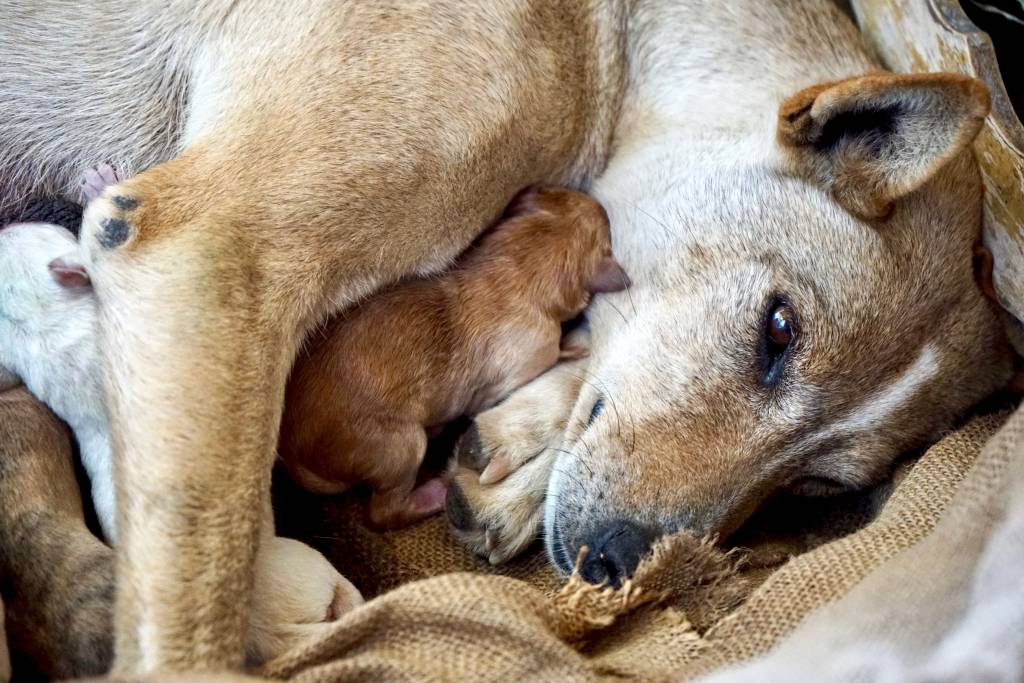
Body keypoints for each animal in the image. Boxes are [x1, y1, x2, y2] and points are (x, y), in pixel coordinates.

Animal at [279, 187, 628, 529]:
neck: (515, 270)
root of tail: (296, 459)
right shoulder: (528, 359)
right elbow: (554, 353)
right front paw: (575, 345)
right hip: (404, 445)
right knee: (383, 513)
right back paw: (433, 492)